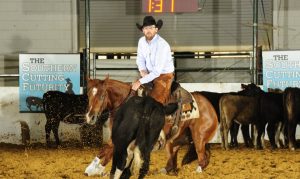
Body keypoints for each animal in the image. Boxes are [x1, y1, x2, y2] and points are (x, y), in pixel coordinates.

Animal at [84, 76, 218, 176]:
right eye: (88, 95)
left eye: (102, 96)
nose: (90, 117)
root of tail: (209, 106)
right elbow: (106, 150)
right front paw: (94, 169)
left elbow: (108, 150)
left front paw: (95, 169)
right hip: (174, 139)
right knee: (173, 160)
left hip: (199, 137)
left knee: (202, 158)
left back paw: (196, 172)